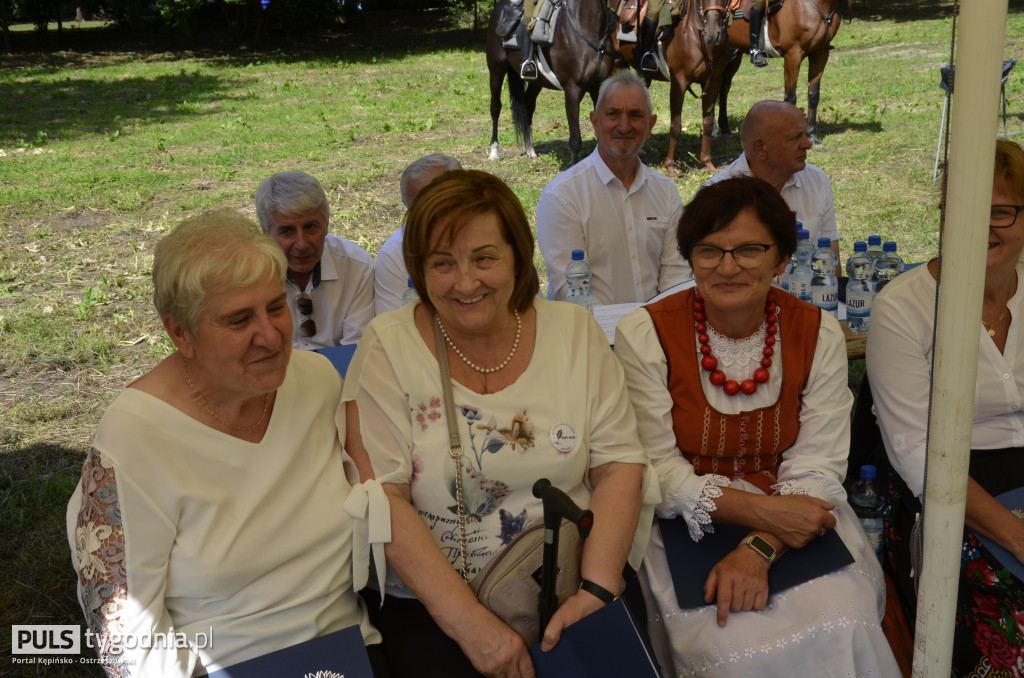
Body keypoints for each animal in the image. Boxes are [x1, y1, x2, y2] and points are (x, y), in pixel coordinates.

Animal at [704, 0, 839, 142]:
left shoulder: (820, 52)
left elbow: (813, 95)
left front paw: (813, 136)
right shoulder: (793, 55)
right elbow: (790, 97)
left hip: (733, 58)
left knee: (723, 91)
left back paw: (724, 129)